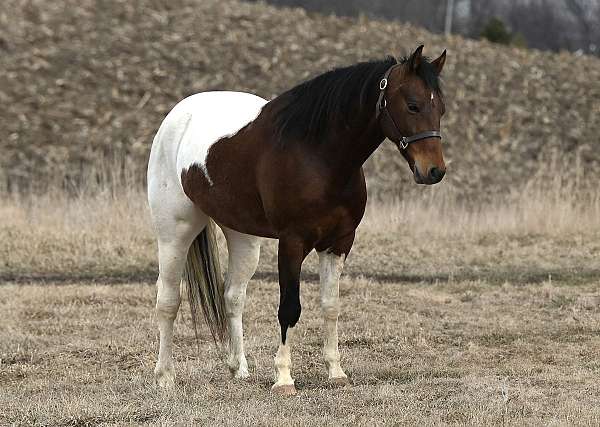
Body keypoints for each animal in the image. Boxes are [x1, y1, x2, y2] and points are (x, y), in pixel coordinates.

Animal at [145, 45, 446, 396]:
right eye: (413, 105)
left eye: (440, 108)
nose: (434, 171)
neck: (318, 155)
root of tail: (179, 115)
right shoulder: (292, 242)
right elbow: (289, 307)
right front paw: (284, 378)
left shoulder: (338, 243)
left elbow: (330, 306)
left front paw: (336, 372)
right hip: (175, 232)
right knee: (168, 301)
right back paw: (165, 376)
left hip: (243, 238)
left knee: (232, 297)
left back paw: (239, 369)